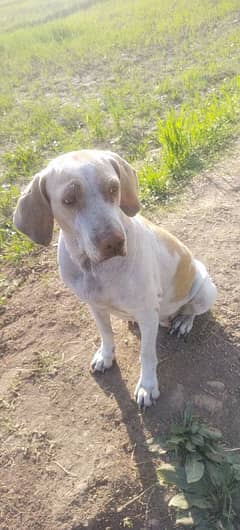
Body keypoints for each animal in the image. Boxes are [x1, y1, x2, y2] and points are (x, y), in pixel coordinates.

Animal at [13, 151, 218, 406]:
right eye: (69, 200)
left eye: (113, 188)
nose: (113, 242)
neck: (95, 269)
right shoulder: (95, 306)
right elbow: (106, 335)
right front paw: (106, 356)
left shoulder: (147, 313)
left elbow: (146, 354)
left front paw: (147, 386)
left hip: (205, 290)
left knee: (191, 310)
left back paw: (183, 322)